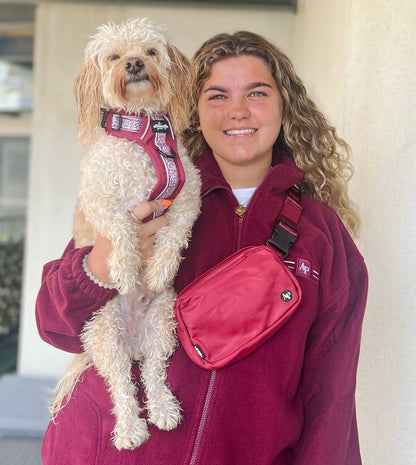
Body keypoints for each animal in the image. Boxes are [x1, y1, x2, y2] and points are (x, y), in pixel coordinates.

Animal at [50, 18, 202, 450]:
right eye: (114, 57)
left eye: (150, 52)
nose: (134, 64)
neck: (141, 131)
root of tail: (133, 342)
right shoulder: (99, 199)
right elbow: (121, 228)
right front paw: (123, 268)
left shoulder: (188, 197)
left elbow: (174, 235)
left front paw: (159, 271)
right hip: (104, 334)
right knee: (121, 385)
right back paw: (131, 429)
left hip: (163, 326)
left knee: (152, 373)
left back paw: (164, 410)